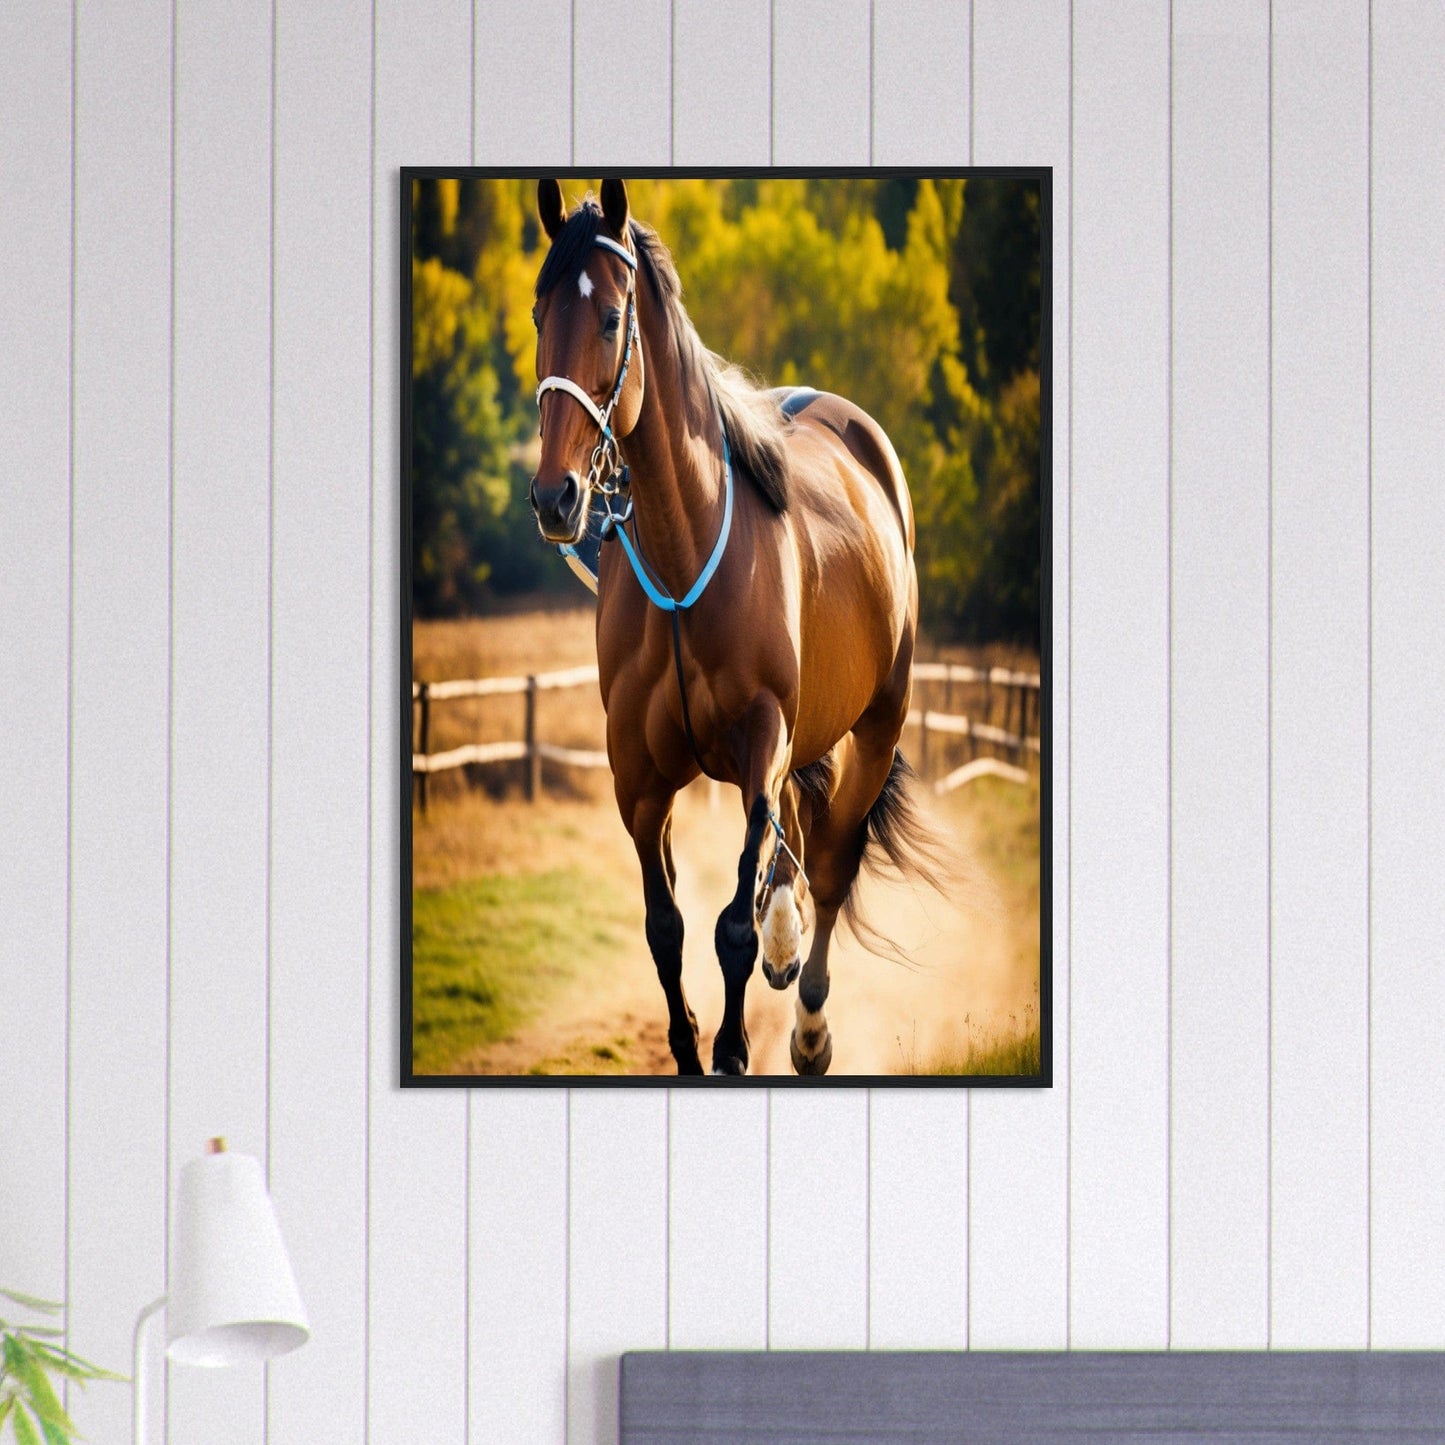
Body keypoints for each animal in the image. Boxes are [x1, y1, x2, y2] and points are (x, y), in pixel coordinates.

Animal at [528, 177, 944, 1076]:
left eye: (609, 318)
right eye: (539, 313)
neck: (686, 564)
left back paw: (811, 1023)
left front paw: (731, 1045)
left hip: (876, 725)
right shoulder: (637, 775)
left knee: (831, 866)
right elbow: (665, 928)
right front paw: (690, 1045)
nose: (555, 497)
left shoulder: (761, 740)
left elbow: (729, 930)